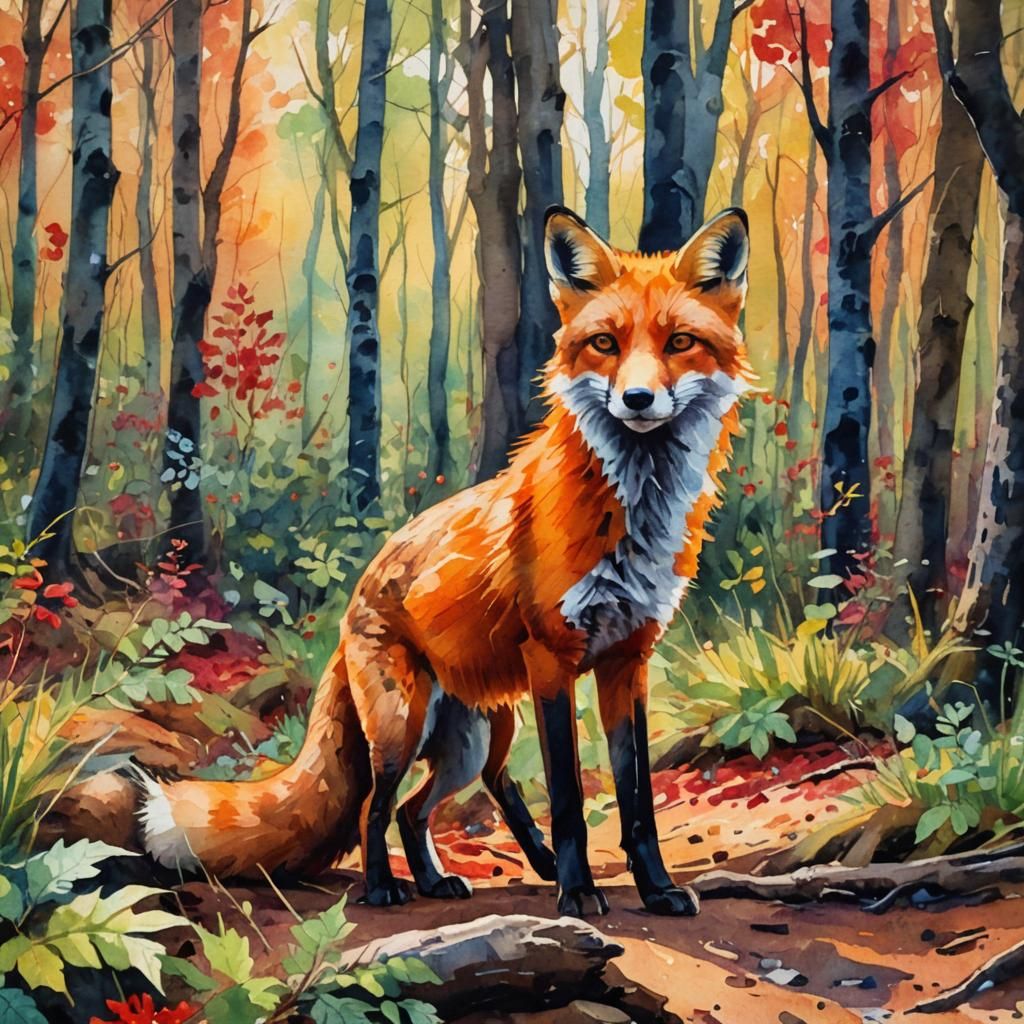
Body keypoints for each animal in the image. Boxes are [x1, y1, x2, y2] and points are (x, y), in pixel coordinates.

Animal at [134, 205, 753, 918]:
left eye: (679, 342)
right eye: (605, 343)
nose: (638, 400)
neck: (632, 512)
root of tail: (352, 606)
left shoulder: (628, 661)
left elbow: (637, 800)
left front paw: (655, 889)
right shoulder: (552, 659)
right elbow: (570, 797)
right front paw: (577, 893)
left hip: (480, 735)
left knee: (433, 803)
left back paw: (444, 878)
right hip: (404, 727)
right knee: (377, 807)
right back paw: (385, 887)